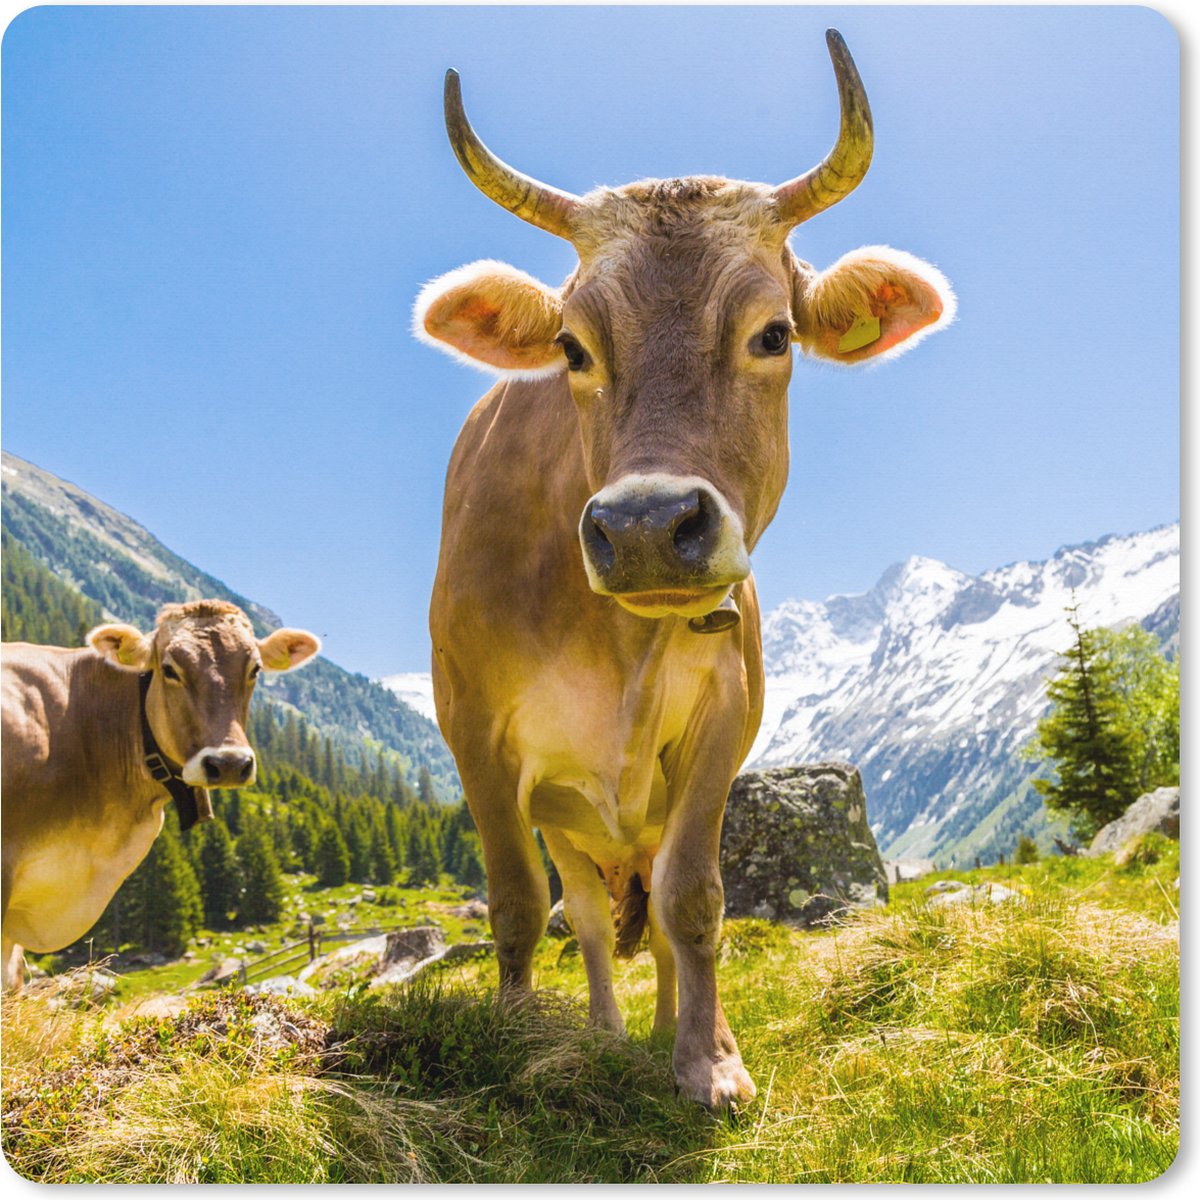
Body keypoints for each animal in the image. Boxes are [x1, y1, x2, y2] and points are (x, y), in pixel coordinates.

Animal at [417, 31, 954, 1109]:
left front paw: (707, 1058)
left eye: (774, 334)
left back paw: (664, 1028)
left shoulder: (725, 717)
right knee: (585, 917)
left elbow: (694, 901)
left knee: (655, 913)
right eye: (572, 346)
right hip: (568, 817)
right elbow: (514, 902)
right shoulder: (473, 728)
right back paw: (603, 1031)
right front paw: (518, 1038)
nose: (647, 527)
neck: (614, 639)